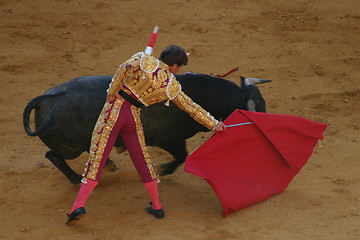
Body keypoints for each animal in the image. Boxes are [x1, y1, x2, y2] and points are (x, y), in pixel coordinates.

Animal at [23, 73, 270, 184]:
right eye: (259, 107)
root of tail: (43, 100)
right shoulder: (170, 140)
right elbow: (182, 156)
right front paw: (164, 170)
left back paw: (106, 163)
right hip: (70, 147)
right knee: (53, 156)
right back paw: (76, 179)